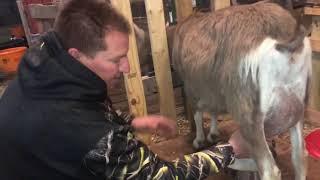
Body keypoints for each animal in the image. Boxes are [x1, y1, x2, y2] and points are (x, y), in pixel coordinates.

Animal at [172, 1, 312, 180]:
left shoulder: (191, 86)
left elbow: (197, 113)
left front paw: (199, 139)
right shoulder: (212, 87)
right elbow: (213, 111)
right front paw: (213, 134)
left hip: (249, 114)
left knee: (269, 169)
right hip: (298, 104)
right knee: (299, 158)